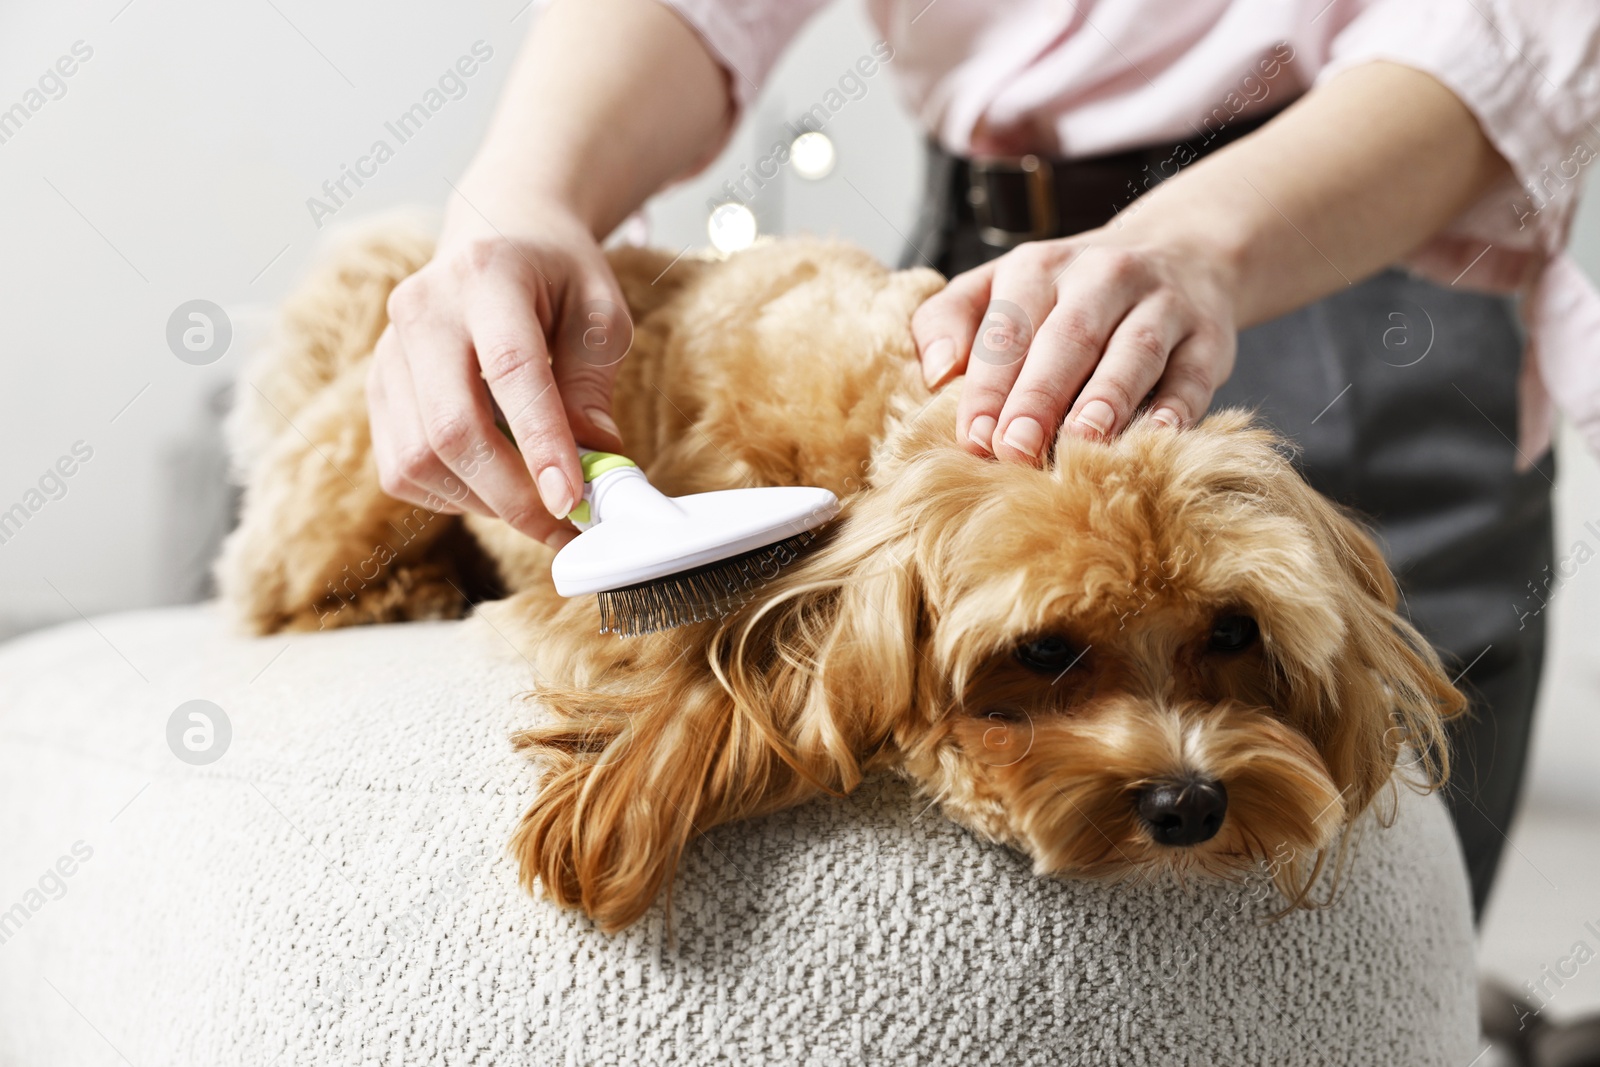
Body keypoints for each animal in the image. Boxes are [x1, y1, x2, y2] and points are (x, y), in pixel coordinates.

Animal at [219, 220, 1465, 927]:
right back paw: (403, 590)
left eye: (1232, 631)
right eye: (1045, 649)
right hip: (359, 491)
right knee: (264, 593)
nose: (1189, 800)